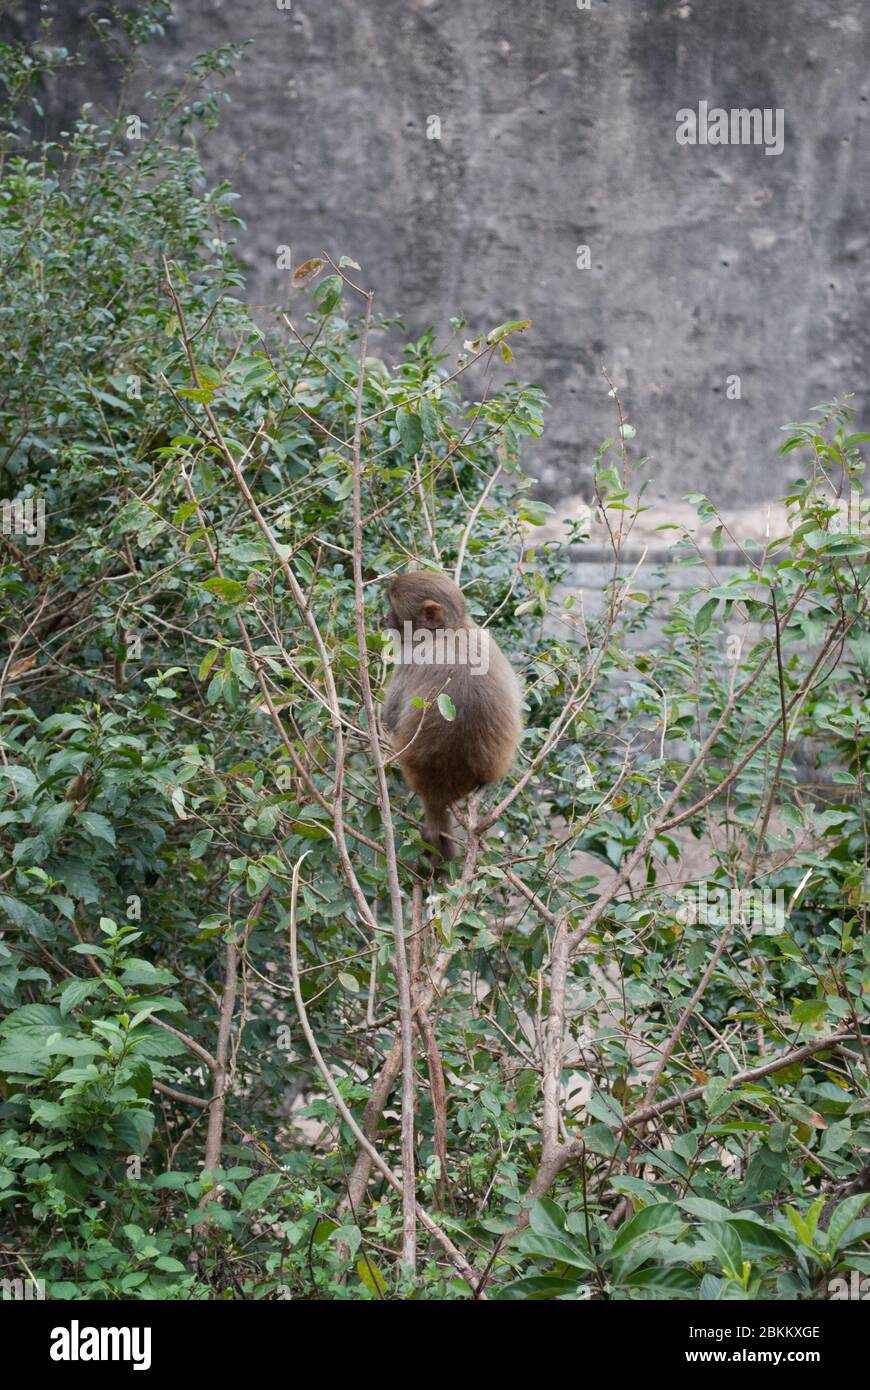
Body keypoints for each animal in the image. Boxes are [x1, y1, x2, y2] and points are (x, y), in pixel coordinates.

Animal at [378, 572, 514, 856]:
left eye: (394, 609)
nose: (384, 618)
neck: (450, 630)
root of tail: (438, 791)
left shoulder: (412, 658)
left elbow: (390, 716)